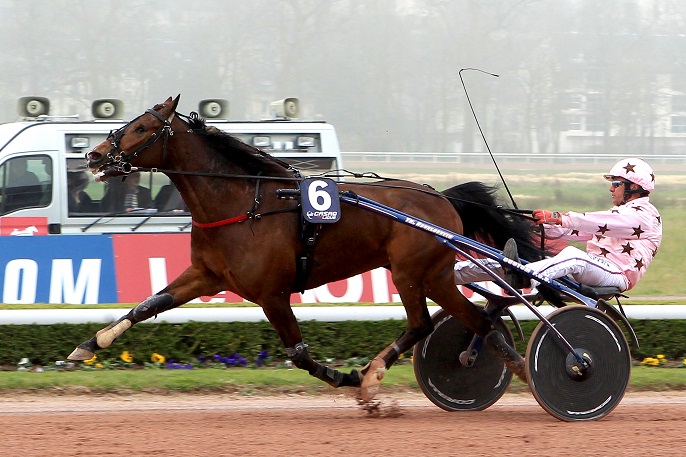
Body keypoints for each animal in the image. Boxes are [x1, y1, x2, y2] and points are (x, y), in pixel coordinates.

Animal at [70, 95, 544, 400]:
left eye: (143, 128)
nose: (95, 155)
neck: (241, 203)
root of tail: (442, 198)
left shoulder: (272, 293)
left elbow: (298, 355)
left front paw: (348, 378)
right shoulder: (206, 275)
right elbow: (147, 305)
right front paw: (88, 345)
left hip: (411, 272)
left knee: (423, 324)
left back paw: (373, 376)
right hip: (436, 275)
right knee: (475, 320)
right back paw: (511, 366)